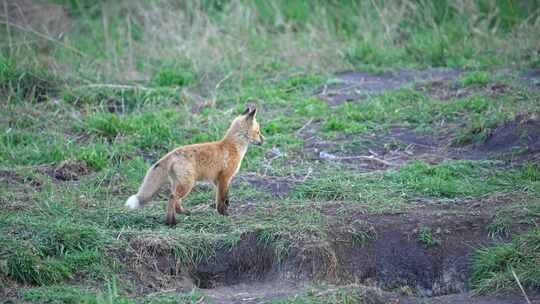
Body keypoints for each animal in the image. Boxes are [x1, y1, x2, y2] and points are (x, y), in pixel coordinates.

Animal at [125, 107, 264, 226]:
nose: (264, 140)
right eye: (258, 132)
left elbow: (223, 198)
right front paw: (224, 213)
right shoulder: (224, 178)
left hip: (179, 183)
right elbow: (221, 199)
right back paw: (171, 222)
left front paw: (223, 210)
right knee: (172, 198)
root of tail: (171, 153)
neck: (233, 147)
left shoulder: (218, 180)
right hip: (188, 184)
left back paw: (182, 214)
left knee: (175, 201)